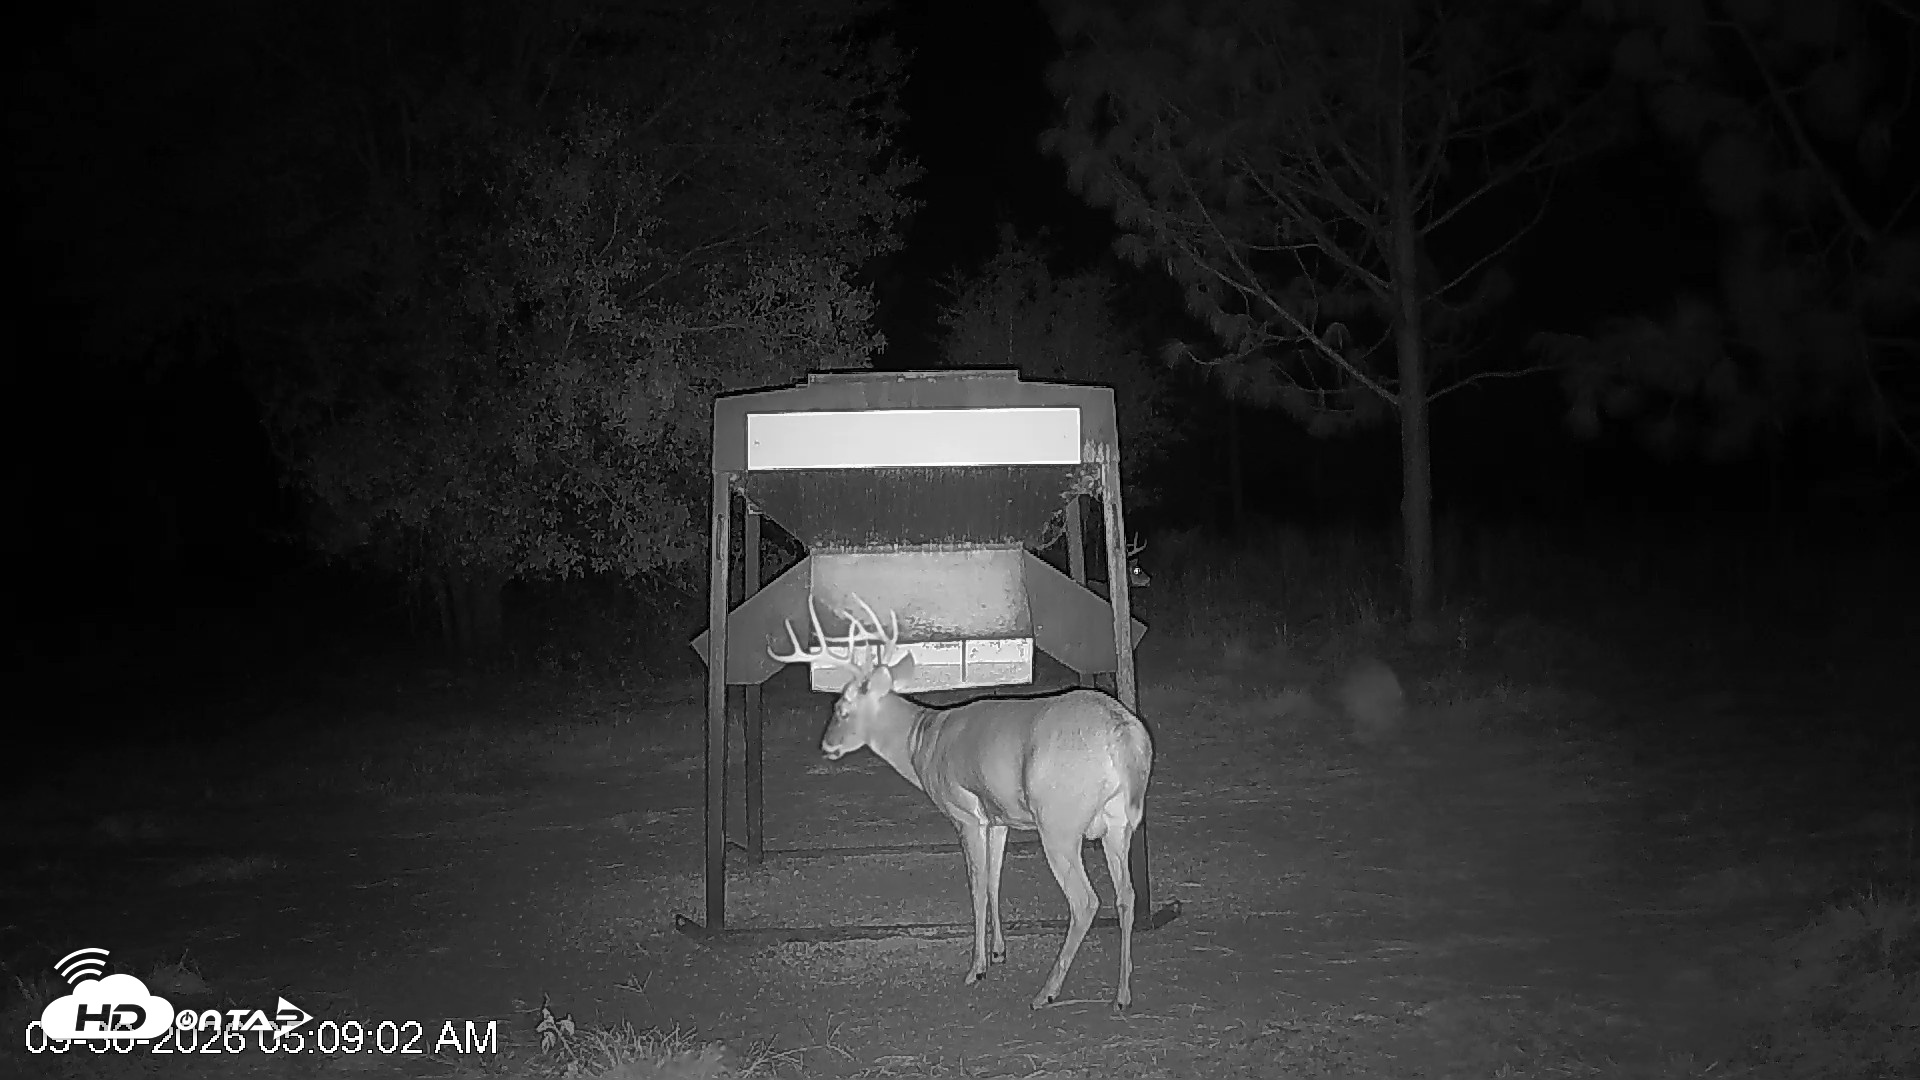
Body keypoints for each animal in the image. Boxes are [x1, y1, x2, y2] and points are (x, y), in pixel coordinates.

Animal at [770, 594, 1154, 1011]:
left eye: (841, 710)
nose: (826, 745)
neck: (921, 742)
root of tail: (1124, 736)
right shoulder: (999, 818)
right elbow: (995, 880)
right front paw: (999, 952)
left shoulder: (964, 813)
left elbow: (977, 887)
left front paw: (977, 968)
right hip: (1118, 823)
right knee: (1127, 895)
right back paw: (1123, 994)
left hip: (1059, 821)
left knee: (1085, 901)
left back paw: (1046, 992)